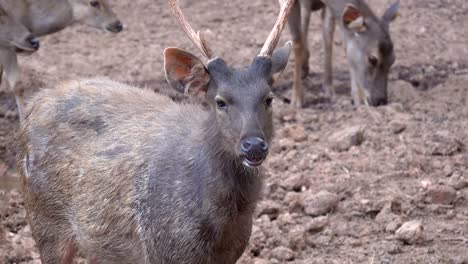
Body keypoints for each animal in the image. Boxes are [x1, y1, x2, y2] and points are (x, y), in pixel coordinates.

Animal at [19, 0, 296, 262]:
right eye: (220, 101)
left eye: (269, 98)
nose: (254, 145)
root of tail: (34, 103)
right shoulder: (161, 248)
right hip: (45, 222)